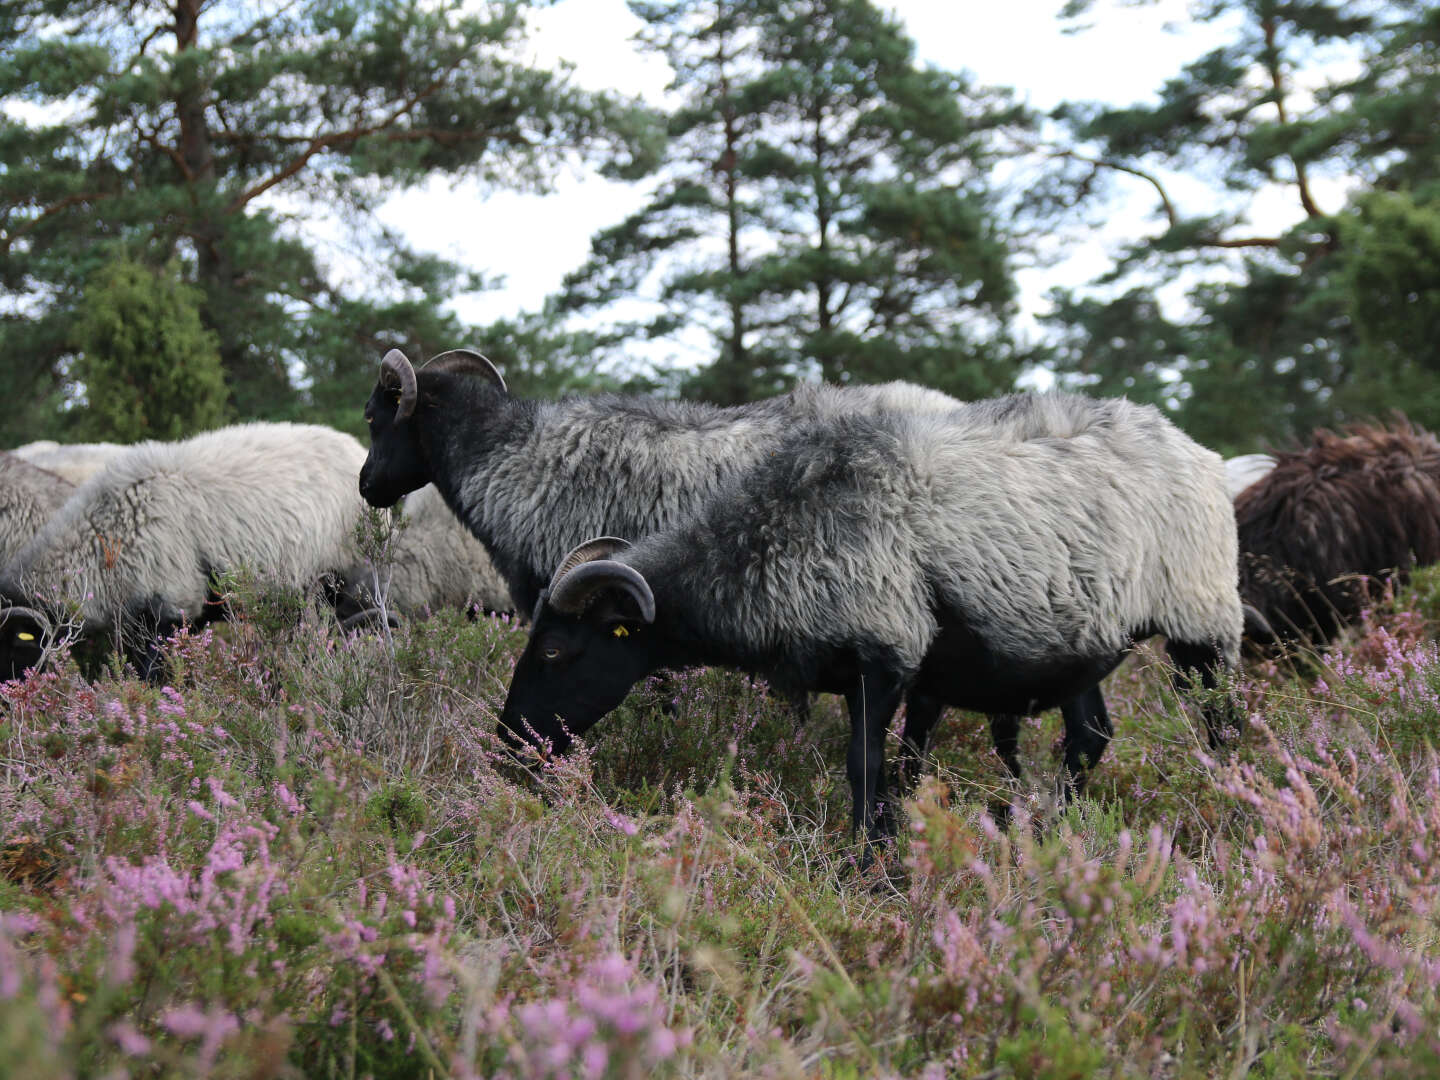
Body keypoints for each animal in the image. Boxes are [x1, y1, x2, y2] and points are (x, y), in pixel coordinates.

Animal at [501, 394, 1244, 852]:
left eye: (556, 652)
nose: (509, 747)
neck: (772, 538)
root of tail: (1196, 449)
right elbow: (897, 765)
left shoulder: (883, 653)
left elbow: (865, 766)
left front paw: (869, 861)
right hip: (1078, 641)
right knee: (1090, 736)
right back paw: (1051, 831)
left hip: (1203, 618)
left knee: (1223, 723)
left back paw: (1229, 802)